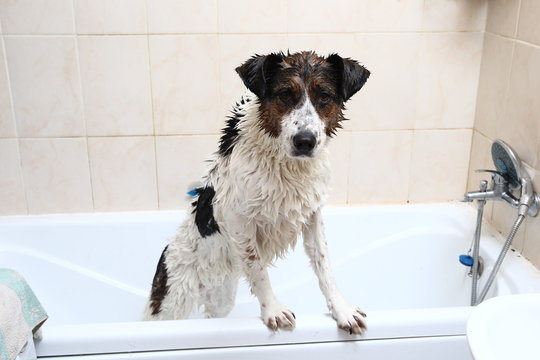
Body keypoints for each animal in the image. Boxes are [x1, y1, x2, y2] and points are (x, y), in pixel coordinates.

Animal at [142, 51, 372, 334]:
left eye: (324, 96)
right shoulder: (238, 218)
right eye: (285, 94)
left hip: (221, 299)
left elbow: (324, 264)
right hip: (173, 301)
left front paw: (342, 309)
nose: (305, 141)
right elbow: (258, 269)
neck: (284, 164)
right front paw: (273, 310)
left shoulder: (312, 214)